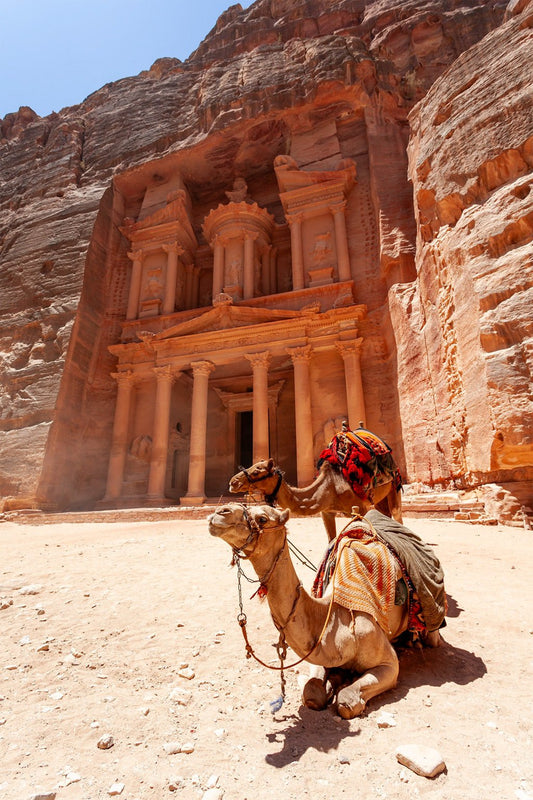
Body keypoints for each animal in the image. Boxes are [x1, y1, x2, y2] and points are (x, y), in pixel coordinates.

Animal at [227, 460, 402, 540]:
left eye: (257, 470)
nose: (233, 482)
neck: (329, 488)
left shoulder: (360, 509)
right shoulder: (327, 512)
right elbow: (331, 540)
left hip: (394, 486)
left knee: (396, 514)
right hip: (380, 498)